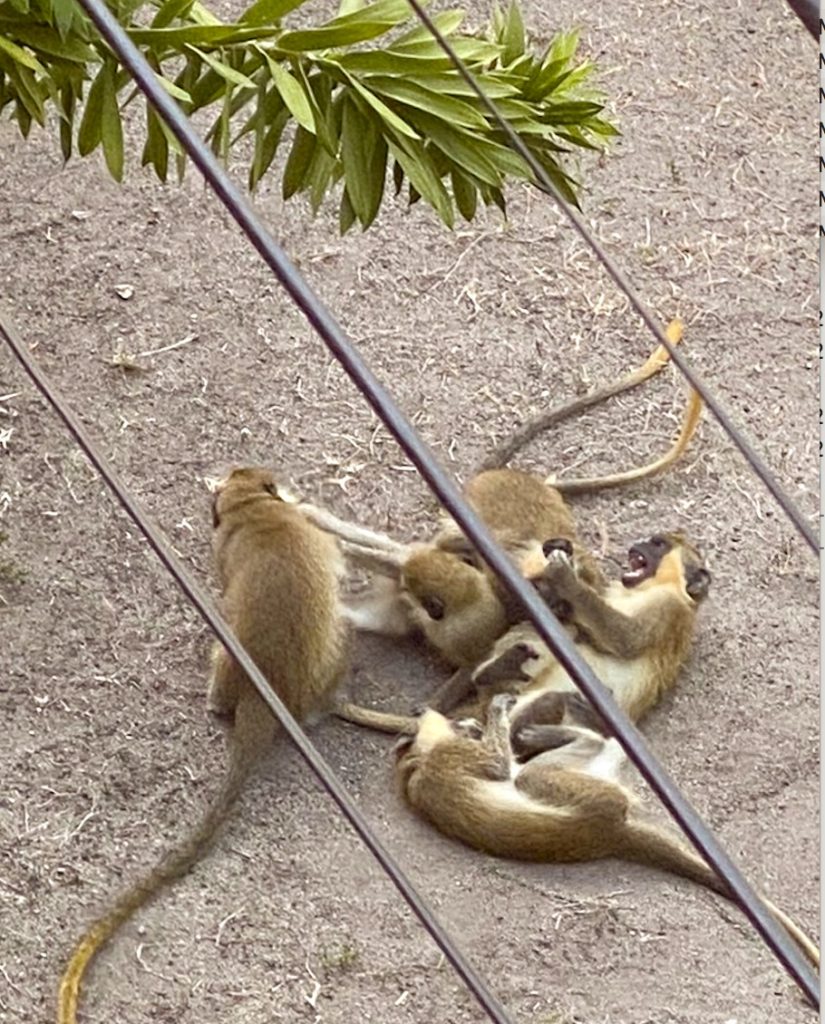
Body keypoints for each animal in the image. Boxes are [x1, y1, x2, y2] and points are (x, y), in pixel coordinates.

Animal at [397, 696, 822, 966]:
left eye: (459, 722)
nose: (469, 725)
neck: (418, 765)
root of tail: (612, 834)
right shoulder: (451, 759)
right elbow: (498, 766)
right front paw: (496, 711)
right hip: (594, 796)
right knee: (530, 775)